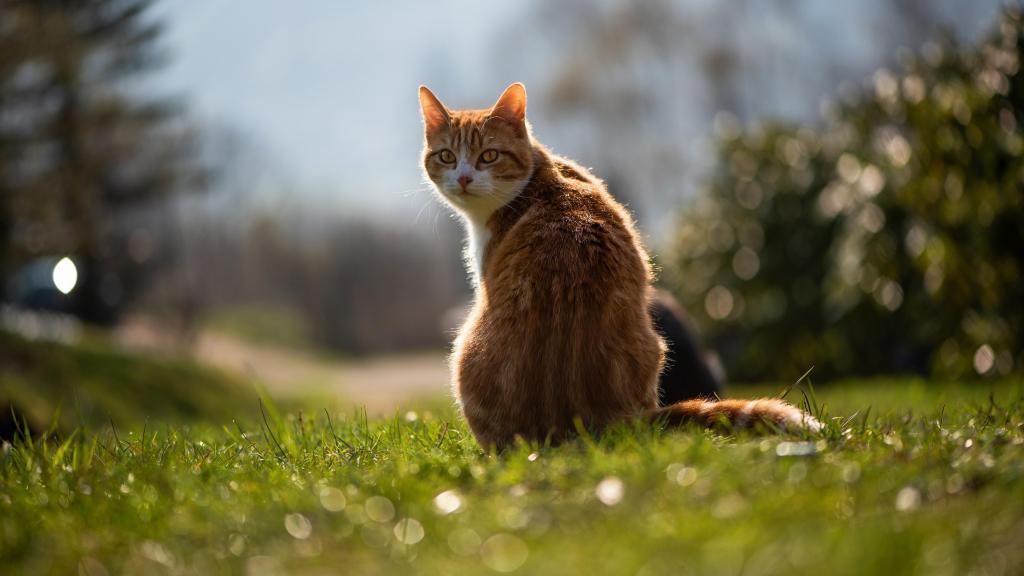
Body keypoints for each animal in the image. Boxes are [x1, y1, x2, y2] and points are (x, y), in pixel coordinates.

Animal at [417, 81, 823, 448]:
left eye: (488, 156)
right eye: (447, 157)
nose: (464, 178)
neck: (540, 174)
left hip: (463, 351)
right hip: (653, 343)